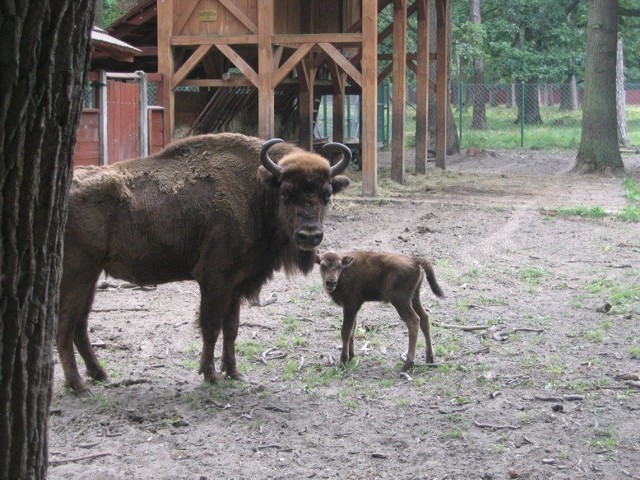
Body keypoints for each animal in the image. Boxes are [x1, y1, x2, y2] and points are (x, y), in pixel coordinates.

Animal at [59, 133, 350, 392]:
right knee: (65, 326)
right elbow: (211, 326)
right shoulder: (215, 279)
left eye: (326, 194)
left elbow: (231, 328)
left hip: (91, 276)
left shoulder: (235, 284)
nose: (309, 235)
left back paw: (99, 374)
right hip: (77, 275)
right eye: (286, 193)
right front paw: (210, 374)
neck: (256, 189)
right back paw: (78, 385)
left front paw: (234, 372)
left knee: (79, 324)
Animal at [316, 251, 444, 372]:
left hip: (400, 300)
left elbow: (345, 331)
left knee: (414, 321)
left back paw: (408, 364)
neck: (345, 271)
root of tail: (414, 260)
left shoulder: (350, 306)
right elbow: (353, 329)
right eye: (322, 265)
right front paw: (351, 356)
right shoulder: (354, 308)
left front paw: (343, 361)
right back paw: (429, 358)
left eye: (339, 266)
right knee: (424, 317)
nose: (331, 282)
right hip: (414, 297)